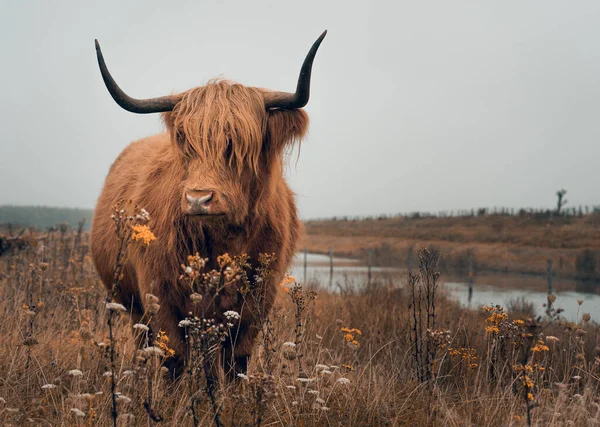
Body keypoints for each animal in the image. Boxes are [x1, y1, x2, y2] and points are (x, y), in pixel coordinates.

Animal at [91, 31, 326, 380]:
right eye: (186, 142)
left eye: (237, 144)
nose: (198, 199)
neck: (224, 242)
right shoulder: (159, 294)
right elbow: (173, 359)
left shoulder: (257, 302)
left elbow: (235, 361)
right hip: (129, 303)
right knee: (144, 343)